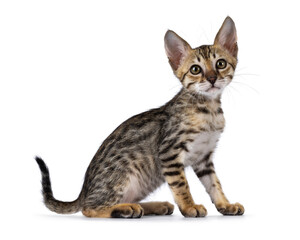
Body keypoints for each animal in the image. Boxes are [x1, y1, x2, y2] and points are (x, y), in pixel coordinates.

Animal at [36, 16, 245, 218]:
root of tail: (84, 191)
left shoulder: (204, 158)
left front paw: (225, 204)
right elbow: (181, 185)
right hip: (124, 176)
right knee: (89, 209)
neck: (208, 110)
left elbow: (215, 184)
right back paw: (124, 209)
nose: (212, 78)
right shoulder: (169, 152)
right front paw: (189, 206)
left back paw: (154, 206)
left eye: (221, 64)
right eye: (195, 69)